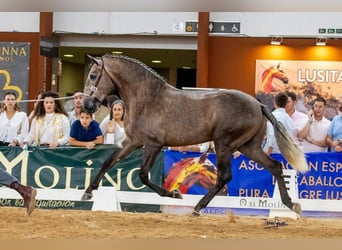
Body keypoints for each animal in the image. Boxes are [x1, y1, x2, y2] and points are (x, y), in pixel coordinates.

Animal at [81, 53, 308, 216]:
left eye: (93, 75)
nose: (87, 105)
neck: (147, 99)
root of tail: (258, 104)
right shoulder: (133, 142)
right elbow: (108, 161)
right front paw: (88, 191)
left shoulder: (153, 144)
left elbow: (143, 174)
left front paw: (174, 194)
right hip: (248, 146)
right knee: (275, 166)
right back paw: (291, 205)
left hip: (225, 144)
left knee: (225, 176)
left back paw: (198, 207)